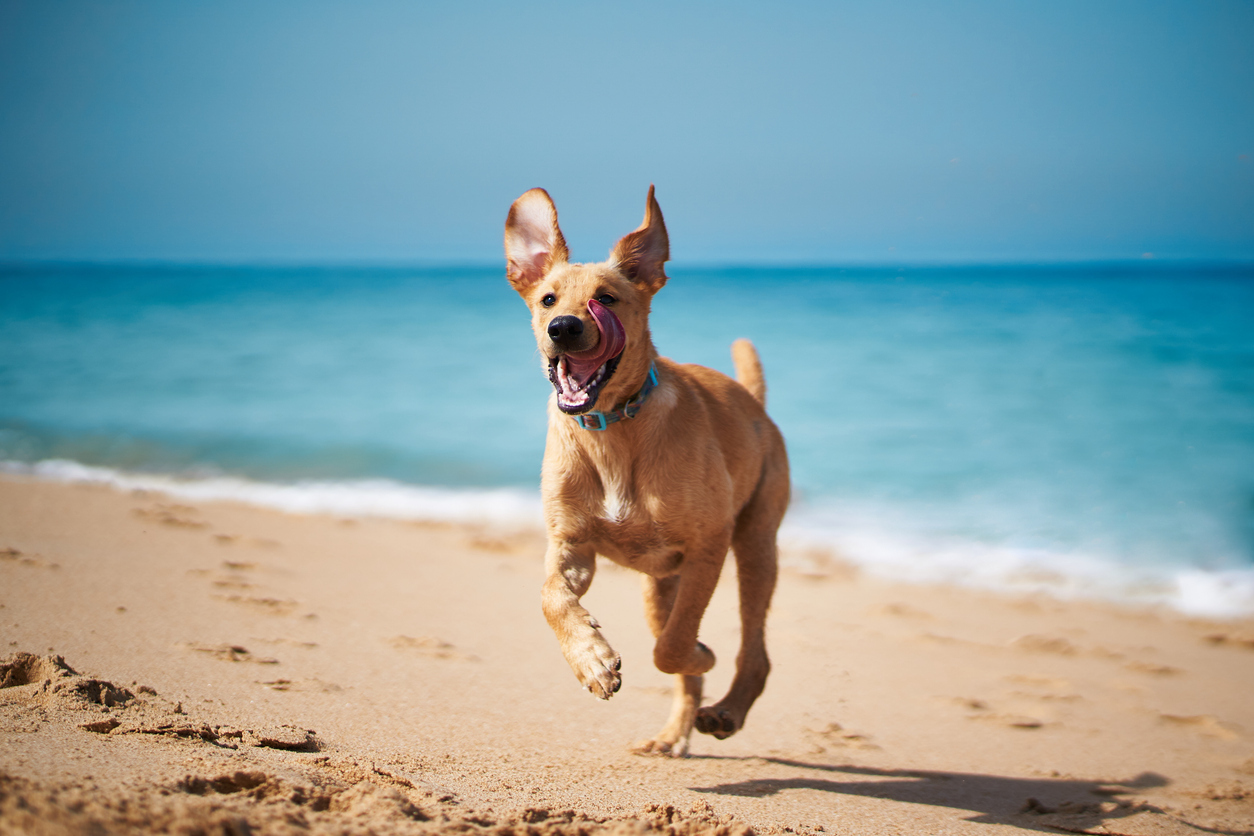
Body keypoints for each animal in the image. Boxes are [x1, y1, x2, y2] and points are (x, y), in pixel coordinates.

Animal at [501, 184, 787, 757]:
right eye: (547, 300)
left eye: (607, 298)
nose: (563, 328)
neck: (610, 429)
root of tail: (755, 404)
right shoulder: (571, 545)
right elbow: (550, 597)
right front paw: (591, 660)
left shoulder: (708, 545)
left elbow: (673, 647)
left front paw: (698, 651)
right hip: (660, 586)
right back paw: (673, 734)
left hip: (755, 545)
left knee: (753, 649)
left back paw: (726, 710)